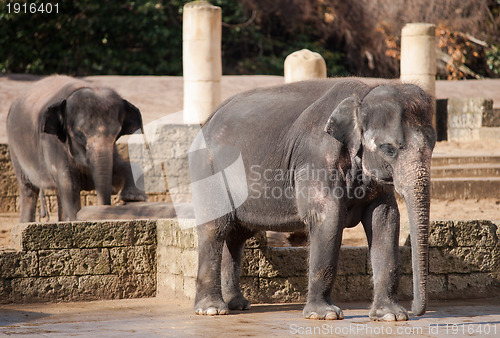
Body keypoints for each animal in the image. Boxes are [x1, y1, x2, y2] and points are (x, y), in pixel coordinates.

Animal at [6, 75, 147, 222]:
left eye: (117, 133)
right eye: (80, 135)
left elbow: (120, 166)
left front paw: (133, 197)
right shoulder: (53, 144)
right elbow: (69, 186)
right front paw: (75, 218)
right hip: (15, 149)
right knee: (28, 189)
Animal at [189, 78, 436, 320]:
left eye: (433, 145)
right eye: (389, 149)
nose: (415, 310)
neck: (364, 95)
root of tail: (206, 122)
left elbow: (384, 219)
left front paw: (391, 316)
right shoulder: (317, 158)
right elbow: (328, 218)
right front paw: (325, 315)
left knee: (237, 235)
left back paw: (238, 304)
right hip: (208, 170)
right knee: (215, 228)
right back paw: (212, 310)